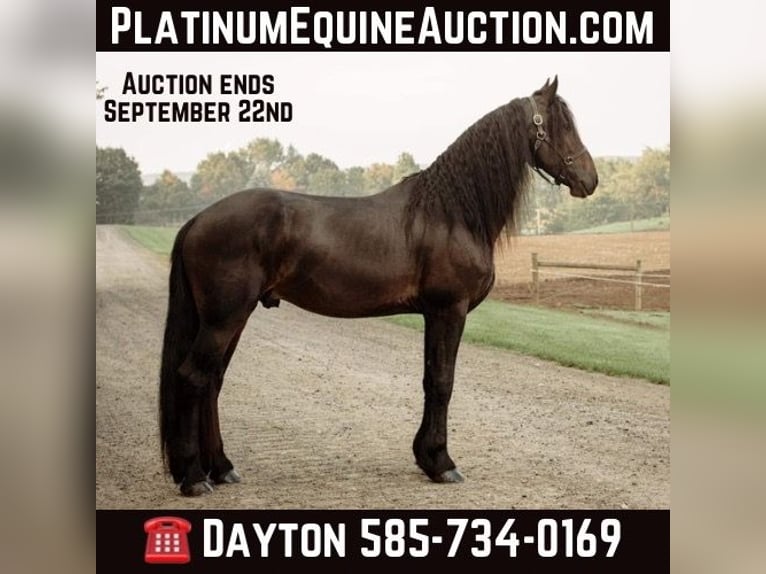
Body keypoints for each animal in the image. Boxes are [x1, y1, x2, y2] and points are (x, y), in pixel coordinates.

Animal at [159, 76, 598, 496]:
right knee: (193, 378)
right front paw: (442, 463)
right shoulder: (449, 310)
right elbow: (443, 382)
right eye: (561, 125)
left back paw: (222, 468)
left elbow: (430, 380)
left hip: (230, 317)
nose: (590, 179)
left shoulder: (433, 314)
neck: (450, 213)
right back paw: (194, 476)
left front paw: (426, 457)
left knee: (212, 382)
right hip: (224, 318)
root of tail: (197, 220)